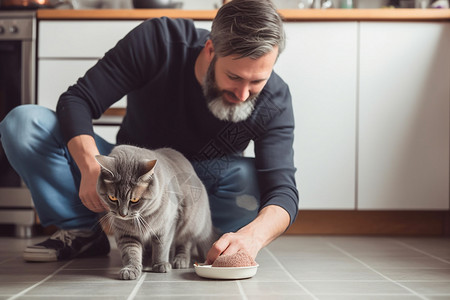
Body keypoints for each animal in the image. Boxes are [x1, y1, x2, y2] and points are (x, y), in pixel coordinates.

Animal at [94, 144, 216, 280]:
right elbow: (131, 252)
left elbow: (161, 247)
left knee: (185, 243)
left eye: (134, 200)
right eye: (112, 198)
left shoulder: (166, 227)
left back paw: (179, 260)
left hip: (190, 223)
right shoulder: (125, 234)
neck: (142, 216)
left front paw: (160, 264)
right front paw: (131, 269)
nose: (123, 214)